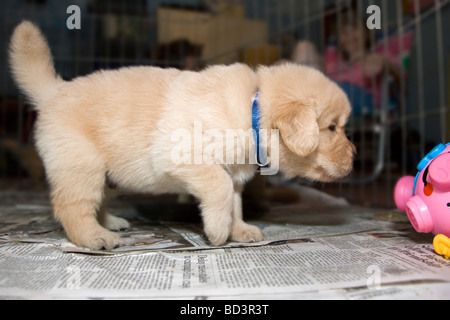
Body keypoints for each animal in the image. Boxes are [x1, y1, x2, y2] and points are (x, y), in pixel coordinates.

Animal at [8, 21, 356, 250]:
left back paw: (110, 222)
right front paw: (217, 233)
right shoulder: (187, 157)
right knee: (72, 208)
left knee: (98, 202)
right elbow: (219, 190)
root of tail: (55, 91)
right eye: (332, 127)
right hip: (81, 167)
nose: (354, 158)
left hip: (106, 175)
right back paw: (95, 237)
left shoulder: (235, 174)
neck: (251, 108)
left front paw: (239, 230)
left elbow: (235, 202)